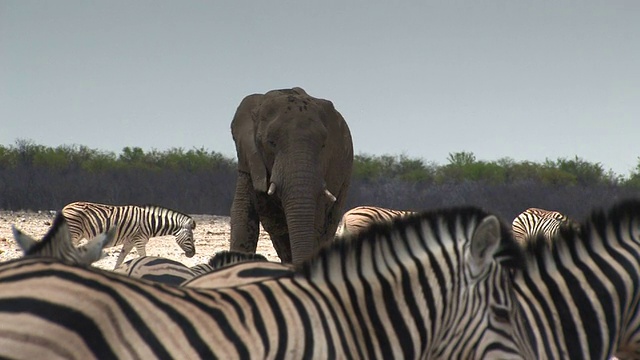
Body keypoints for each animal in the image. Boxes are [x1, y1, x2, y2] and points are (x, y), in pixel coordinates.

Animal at [63, 201, 198, 268]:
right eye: (190, 238)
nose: (192, 254)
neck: (151, 223)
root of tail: (66, 207)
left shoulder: (129, 242)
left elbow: (120, 260)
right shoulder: (139, 241)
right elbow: (143, 257)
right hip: (74, 232)